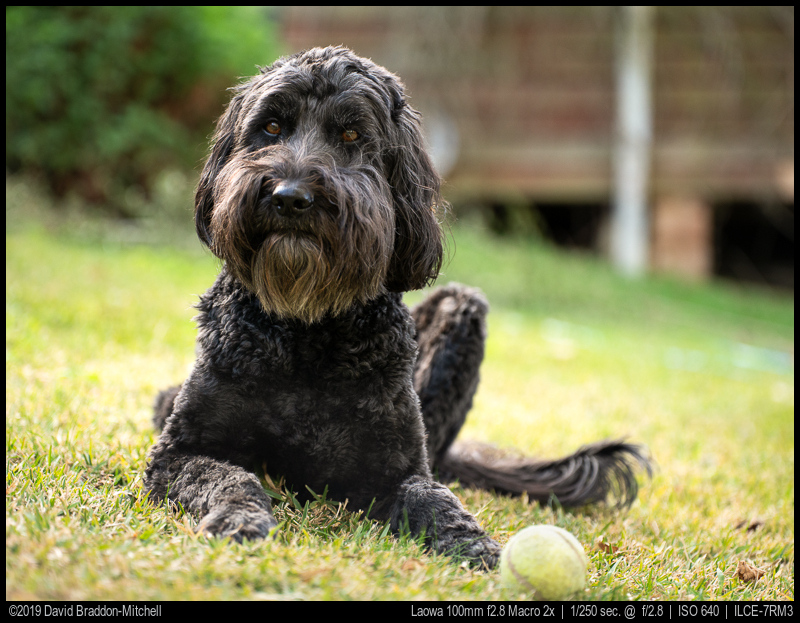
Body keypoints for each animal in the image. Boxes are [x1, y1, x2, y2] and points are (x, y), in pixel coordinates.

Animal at [145, 46, 648, 568]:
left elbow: (436, 500)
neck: (307, 328)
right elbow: (230, 478)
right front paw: (240, 520)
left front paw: (477, 547)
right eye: (271, 127)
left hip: (461, 314)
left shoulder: (398, 469)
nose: (290, 197)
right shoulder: (178, 452)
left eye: (351, 134)